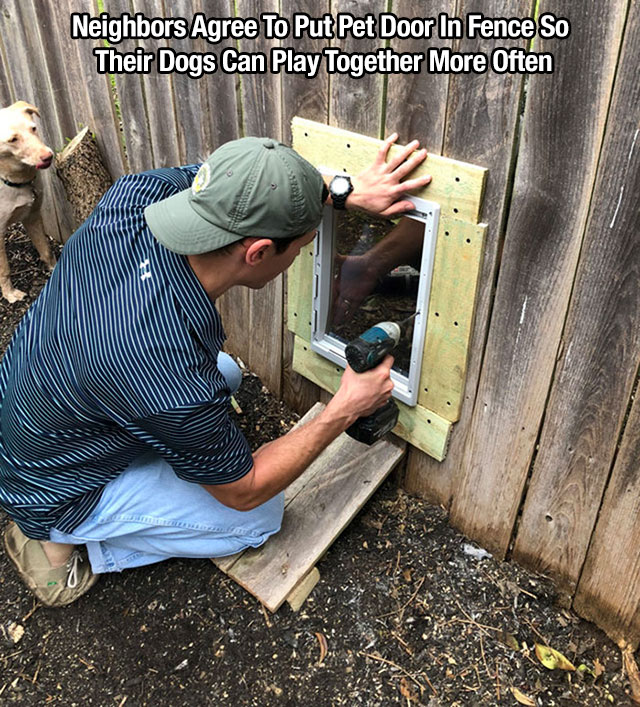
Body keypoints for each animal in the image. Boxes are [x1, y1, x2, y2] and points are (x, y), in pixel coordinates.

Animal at [0, 101, 56, 302]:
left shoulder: (32, 216)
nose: (48, 156)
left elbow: (45, 249)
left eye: (33, 129)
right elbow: (4, 269)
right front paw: (10, 294)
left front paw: (55, 269)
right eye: (13, 140)